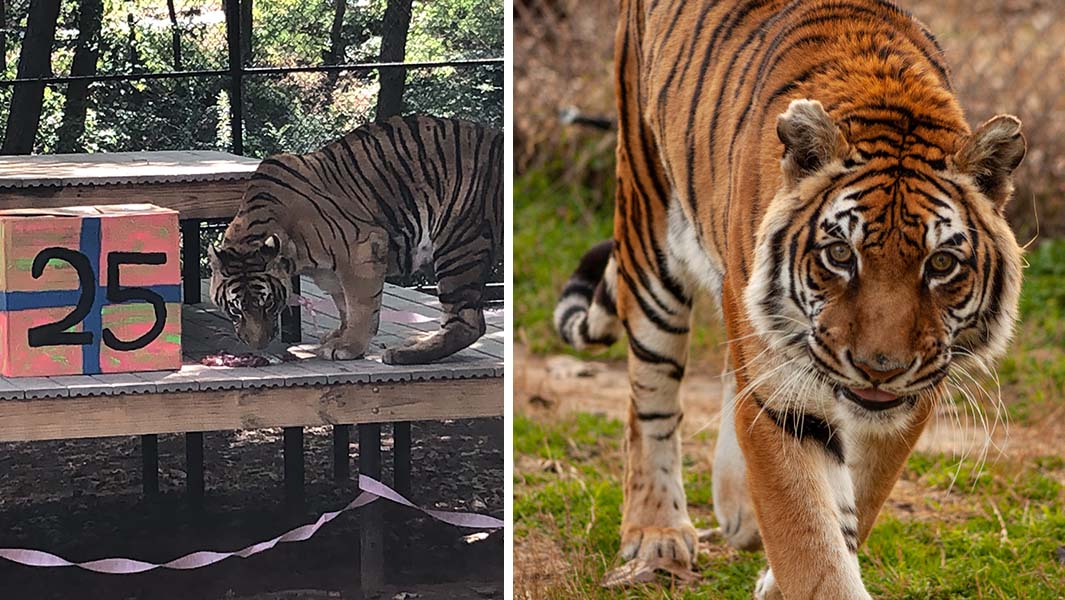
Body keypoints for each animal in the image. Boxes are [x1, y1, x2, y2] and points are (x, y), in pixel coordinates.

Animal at [210, 114, 503, 365]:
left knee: (468, 322)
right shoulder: (333, 270)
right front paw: (338, 336)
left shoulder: (361, 248)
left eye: (268, 303)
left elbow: (360, 305)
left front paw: (348, 347)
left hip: (459, 245)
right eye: (236, 310)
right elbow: (343, 304)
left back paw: (402, 354)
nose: (257, 345)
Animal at [553, 1, 1026, 597]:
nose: (880, 368)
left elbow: (854, 502)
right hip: (647, 224)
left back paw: (738, 511)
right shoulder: (784, 397)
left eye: (940, 264)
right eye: (840, 254)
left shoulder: (911, 396)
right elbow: (808, 533)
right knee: (652, 400)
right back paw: (656, 533)